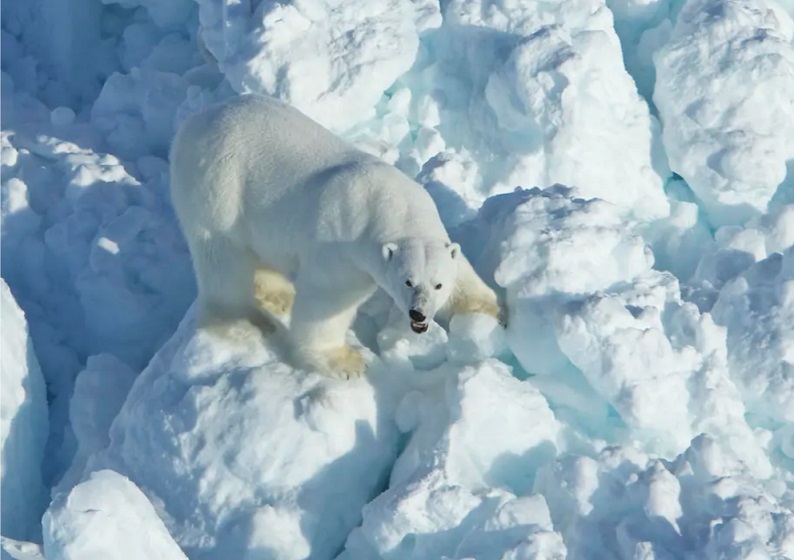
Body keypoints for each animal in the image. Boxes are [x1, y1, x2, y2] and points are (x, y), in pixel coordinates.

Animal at [169, 94, 502, 378]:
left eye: (438, 284)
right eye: (407, 281)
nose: (418, 314)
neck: (391, 204)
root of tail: (190, 124)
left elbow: (462, 273)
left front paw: (493, 311)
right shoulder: (343, 245)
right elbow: (327, 300)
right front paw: (345, 362)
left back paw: (280, 295)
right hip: (218, 188)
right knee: (223, 258)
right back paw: (245, 321)